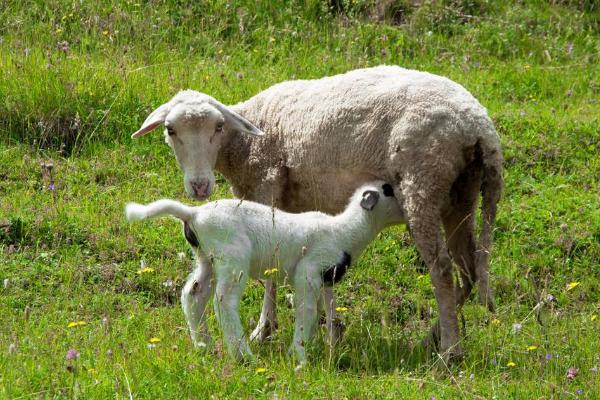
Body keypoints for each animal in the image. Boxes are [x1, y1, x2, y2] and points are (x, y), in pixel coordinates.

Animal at [127, 181, 408, 362]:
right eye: (390, 190)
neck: (346, 231)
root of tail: (193, 213)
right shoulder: (308, 272)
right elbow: (306, 310)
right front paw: (300, 355)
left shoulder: (327, 277)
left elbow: (326, 311)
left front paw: (324, 346)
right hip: (233, 257)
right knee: (223, 302)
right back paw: (243, 355)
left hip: (207, 258)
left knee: (193, 295)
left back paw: (203, 344)